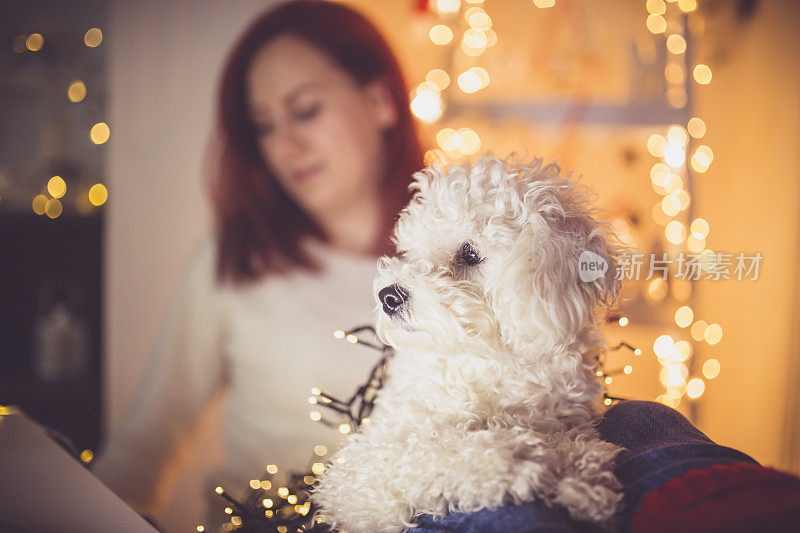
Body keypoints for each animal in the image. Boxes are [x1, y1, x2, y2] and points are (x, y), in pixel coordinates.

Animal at [312, 156, 624, 528]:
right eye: (410, 252)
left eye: (470, 254)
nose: (388, 296)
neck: (484, 361)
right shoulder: (356, 474)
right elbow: (429, 450)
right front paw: (510, 458)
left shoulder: (560, 419)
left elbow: (573, 442)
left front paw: (582, 478)